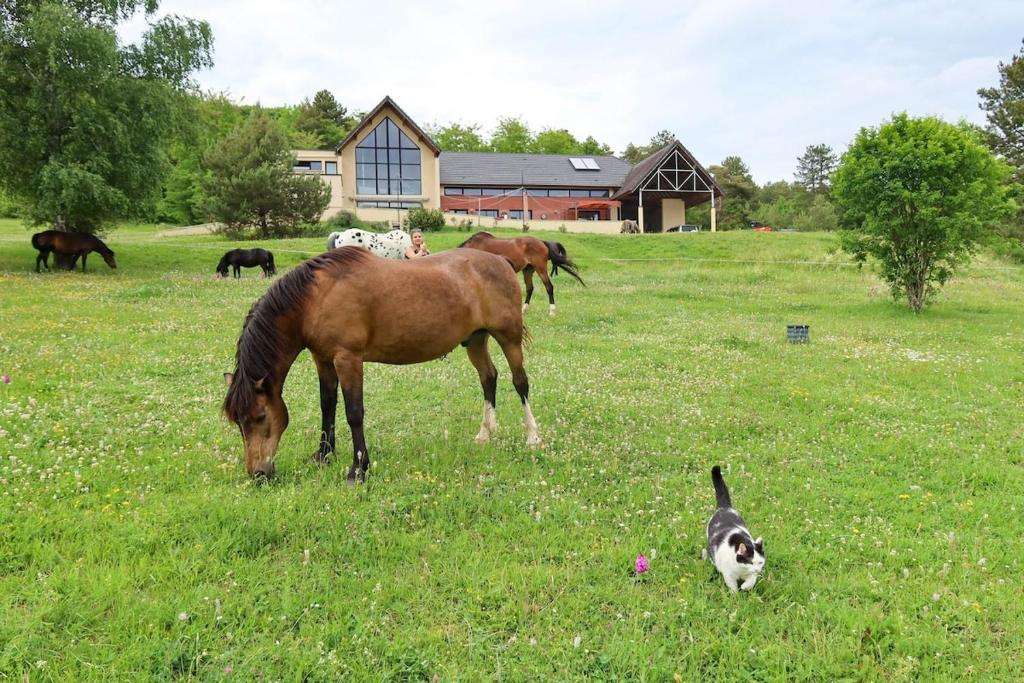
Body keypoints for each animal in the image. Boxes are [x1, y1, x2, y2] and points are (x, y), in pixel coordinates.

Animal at [222, 246, 541, 480]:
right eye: (238, 421)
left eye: (260, 417)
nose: (257, 473)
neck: (316, 297)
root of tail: (501, 260)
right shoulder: (322, 359)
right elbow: (328, 406)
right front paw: (324, 456)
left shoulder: (348, 358)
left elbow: (353, 413)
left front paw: (358, 470)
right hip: (475, 340)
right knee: (489, 378)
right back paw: (486, 433)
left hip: (509, 338)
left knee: (520, 382)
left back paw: (533, 437)